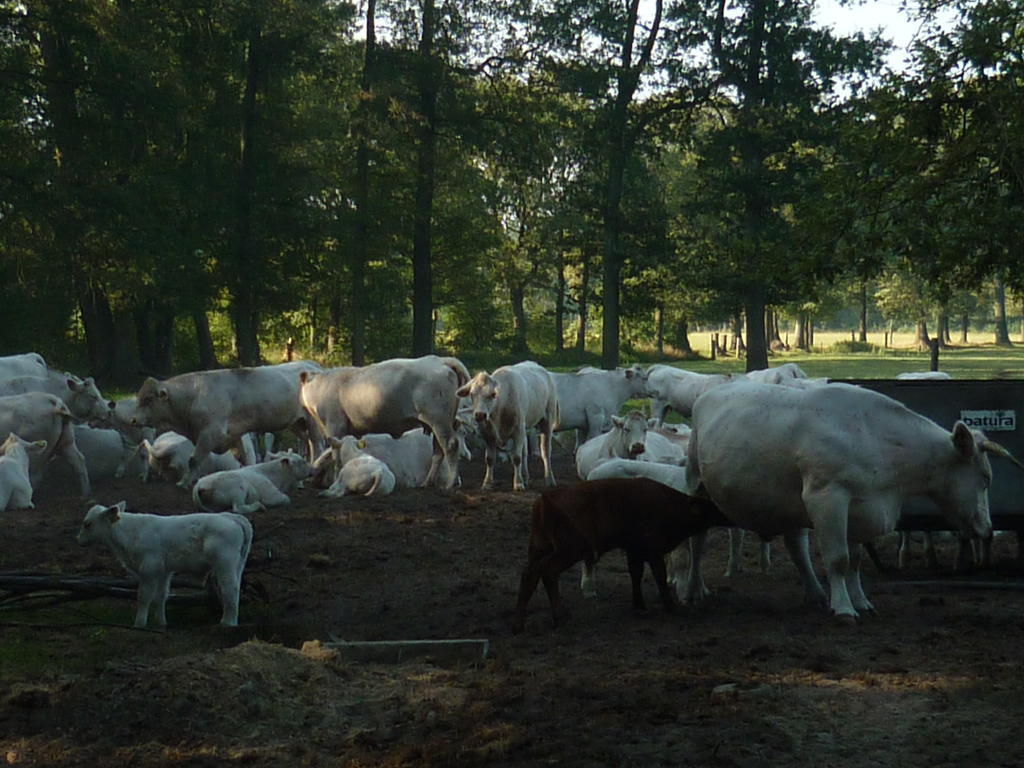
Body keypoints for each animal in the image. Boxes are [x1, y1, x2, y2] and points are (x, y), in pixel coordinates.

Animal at [75, 501, 251, 626]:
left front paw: (139, 624)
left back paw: (227, 623)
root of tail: (231, 517)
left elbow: (144, 596)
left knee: (230, 589)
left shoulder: (149, 569)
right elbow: (160, 596)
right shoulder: (163, 571)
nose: (78, 540)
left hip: (225, 563)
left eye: (87, 523)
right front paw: (161, 623)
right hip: (238, 564)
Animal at [131, 360, 319, 481]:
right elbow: (244, 459)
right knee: (307, 441)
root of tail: (313, 366)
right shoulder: (234, 435)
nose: (133, 420)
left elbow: (193, 460)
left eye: (148, 399)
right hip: (297, 423)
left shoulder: (209, 434)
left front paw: (185, 482)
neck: (194, 395)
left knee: (317, 444)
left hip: (313, 421)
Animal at [458, 362, 561, 493]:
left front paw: (518, 483)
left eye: (493, 394)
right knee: (525, 452)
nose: (480, 414)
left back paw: (549, 479)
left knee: (545, 451)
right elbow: (489, 459)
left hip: (547, 419)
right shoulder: (488, 434)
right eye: (472, 394)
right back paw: (525, 476)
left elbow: (516, 458)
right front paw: (487, 483)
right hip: (525, 427)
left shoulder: (518, 431)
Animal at [512, 479, 729, 634]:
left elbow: (636, 573)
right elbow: (659, 575)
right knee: (547, 571)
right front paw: (669, 605)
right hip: (568, 550)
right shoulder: (652, 550)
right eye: (711, 507)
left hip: (539, 548)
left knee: (529, 574)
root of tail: (543, 500)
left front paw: (639, 605)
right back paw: (559, 616)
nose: (726, 513)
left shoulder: (635, 550)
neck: (670, 505)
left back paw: (519, 623)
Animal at [679, 382, 1007, 622]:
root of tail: (710, 392)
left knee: (796, 545)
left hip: (787, 501)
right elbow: (838, 558)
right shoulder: (827, 497)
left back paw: (815, 593)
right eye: (985, 477)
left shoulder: (860, 508)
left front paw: (860, 601)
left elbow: (856, 560)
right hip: (697, 483)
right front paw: (845, 608)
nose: (987, 527)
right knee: (697, 541)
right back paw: (693, 590)